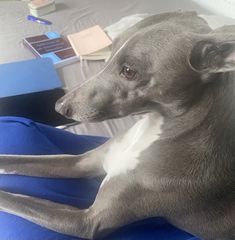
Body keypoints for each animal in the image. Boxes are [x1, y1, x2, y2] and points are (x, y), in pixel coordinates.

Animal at [0, 10, 235, 240]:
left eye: (129, 71)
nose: (60, 107)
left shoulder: (87, 221)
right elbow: (16, 161)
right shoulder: (82, 162)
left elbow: (17, 201)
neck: (151, 132)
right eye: (109, 52)